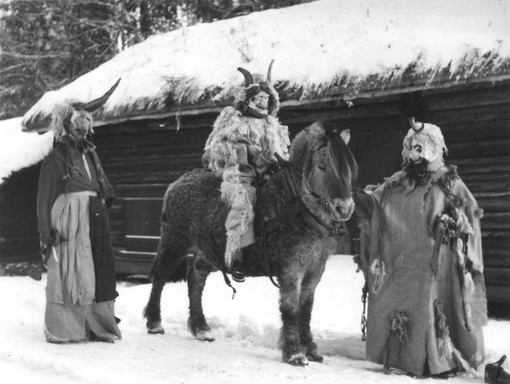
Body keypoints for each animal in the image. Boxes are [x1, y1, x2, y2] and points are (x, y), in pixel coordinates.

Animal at [143, 121, 358, 366]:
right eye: (322, 166)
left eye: (350, 169)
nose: (345, 208)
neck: (295, 207)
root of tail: (178, 182)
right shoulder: (291, 267)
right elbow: (291, 307)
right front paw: (294, 352)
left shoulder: (315, 269)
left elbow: (306, 308)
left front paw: (310, 348)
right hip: (174, 240)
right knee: (160, 276)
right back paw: (154, 322)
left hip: (208, 252)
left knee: (195, 280)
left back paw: (201, 328)